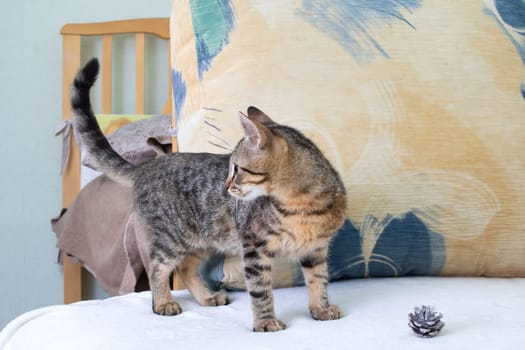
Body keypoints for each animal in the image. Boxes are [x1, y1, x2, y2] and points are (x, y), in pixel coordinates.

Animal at [71, 57, 346, 330]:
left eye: (236, 168)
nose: (225, 185)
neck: (301, 205)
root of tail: (148, 165)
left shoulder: (316, 250)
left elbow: (318, 280)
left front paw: (321, 308)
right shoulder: (253, 247)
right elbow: (261, 290)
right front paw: (266, 321)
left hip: (204, 238)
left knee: (185, 268)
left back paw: (206, 297)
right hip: (174, 236)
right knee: (157, 266)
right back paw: (163, 302)